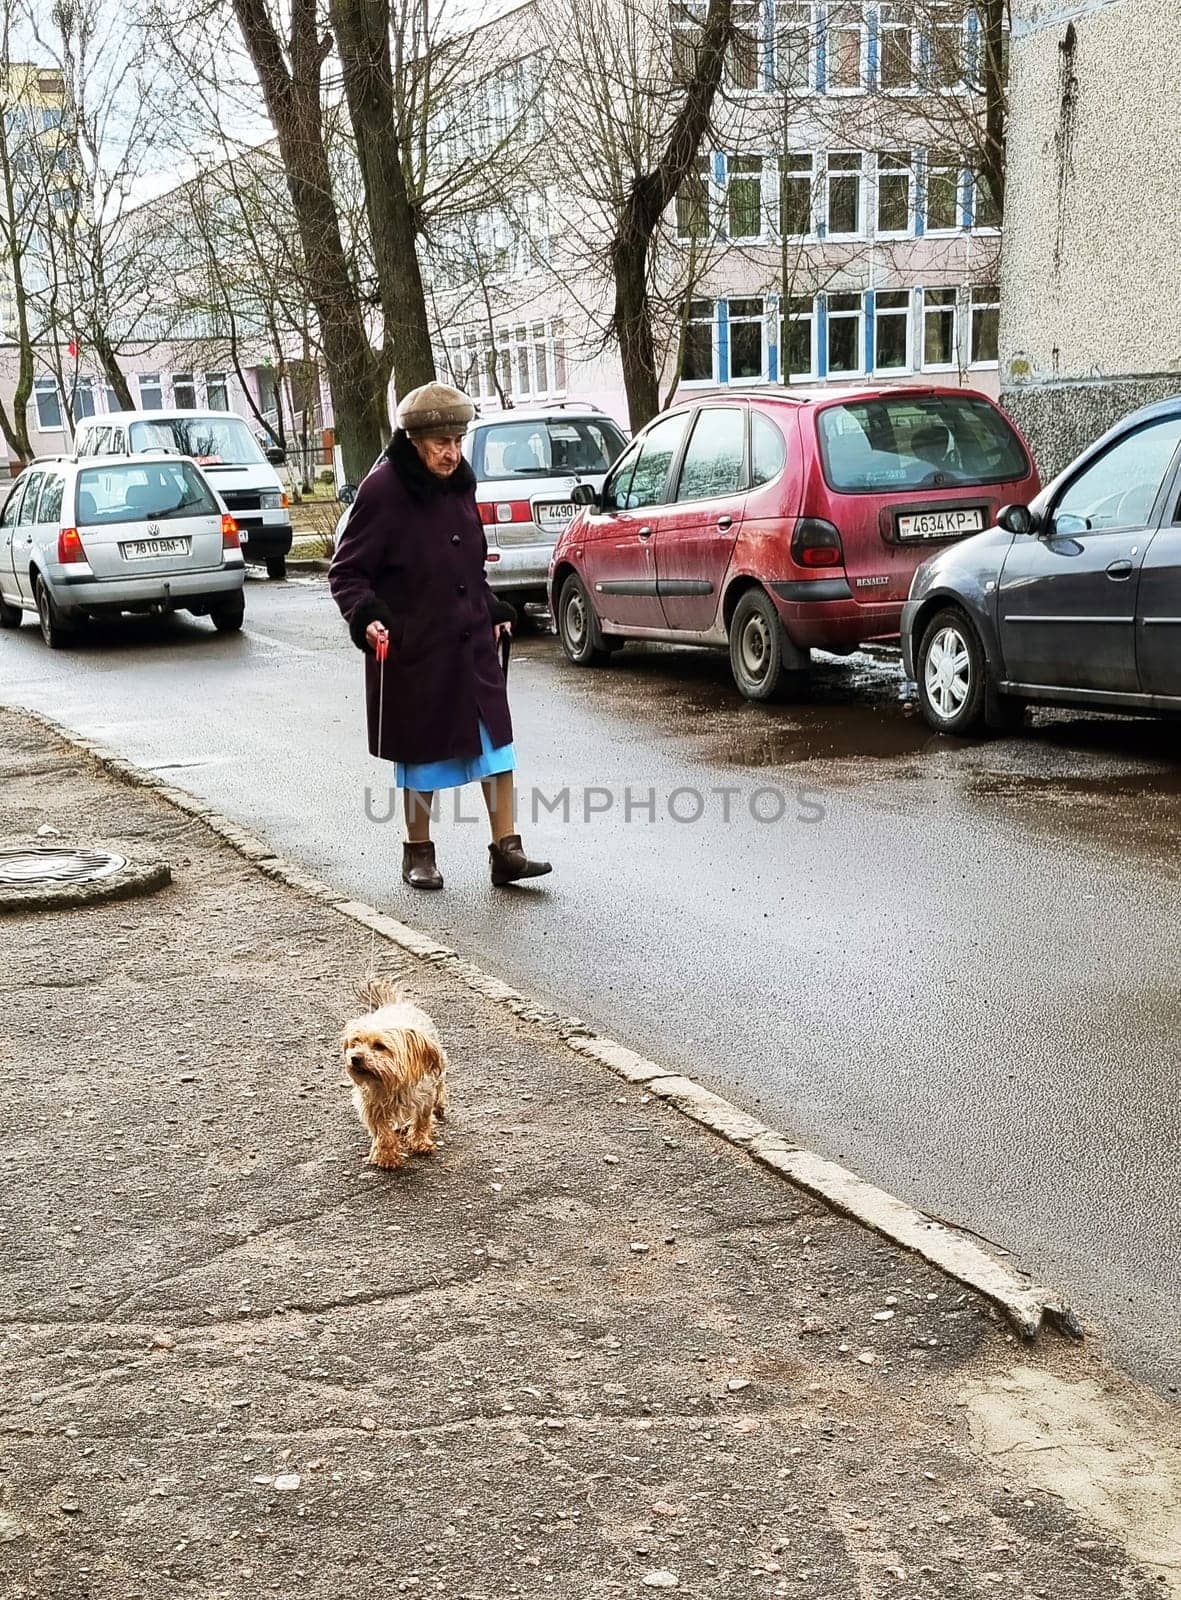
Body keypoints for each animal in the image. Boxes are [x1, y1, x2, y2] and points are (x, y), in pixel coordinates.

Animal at [345, 966, 451, 1171]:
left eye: (379, 1046)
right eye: (355, 1042)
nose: (355, 1058)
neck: (388, 1082)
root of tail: (395, 1004)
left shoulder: (424, 1097)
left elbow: (422, 1120)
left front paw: (420, 1142)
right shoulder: (371, 1105)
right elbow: (382, 1131)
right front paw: (387, 1156)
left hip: (439, 1068)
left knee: (440, 1087)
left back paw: (439, 1106)